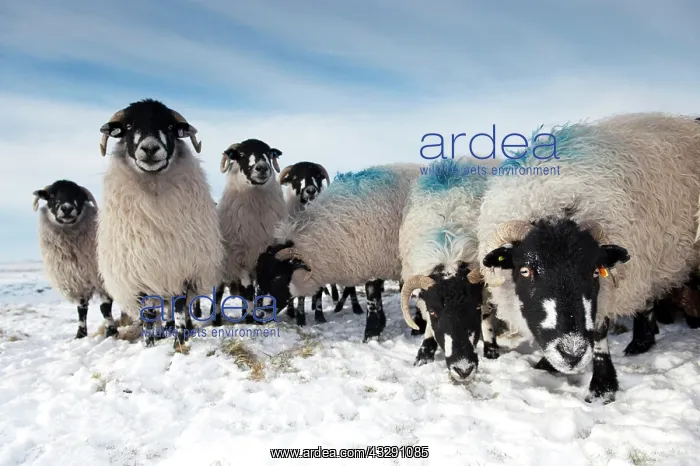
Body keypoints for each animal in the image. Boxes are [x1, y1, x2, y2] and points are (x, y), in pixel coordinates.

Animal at [33, 179, 118, 339]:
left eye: (78, 195)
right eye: (52, 195)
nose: (66, 208)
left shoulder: (102, 278)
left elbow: (105, 308)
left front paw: (111, 332)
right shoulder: (78, 280)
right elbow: (81, 309)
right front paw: (80, 334)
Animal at [96, 98, 223, 349]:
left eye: (169, 127)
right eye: (128, 126)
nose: (150, 148)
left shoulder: (182, 267)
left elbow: (181, 307)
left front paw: (181, 341)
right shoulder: (140, 275)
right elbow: (148, 315)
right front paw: (149, 343)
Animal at [209, 138, 287, 326]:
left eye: (269, 153)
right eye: (241, 154)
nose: (262, 168)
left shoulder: (264, 258)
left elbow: (260, 289)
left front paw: (255, 316)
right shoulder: (240, 259)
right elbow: (248, 290)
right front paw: (251, 318)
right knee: (218, 294)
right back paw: (216, 320)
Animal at [255, 163, 421, 341]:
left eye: (277, 277)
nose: (258, 315)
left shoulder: (376, 258)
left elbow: (372, 297)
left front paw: (370, 333)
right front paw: (378, 326)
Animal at [474, 112, 700, 403]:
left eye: (594, 271)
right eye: (525, 271)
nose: (571, 354)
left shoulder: (608, 293)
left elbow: (600, 334)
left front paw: (603, 386)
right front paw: (547, 364)